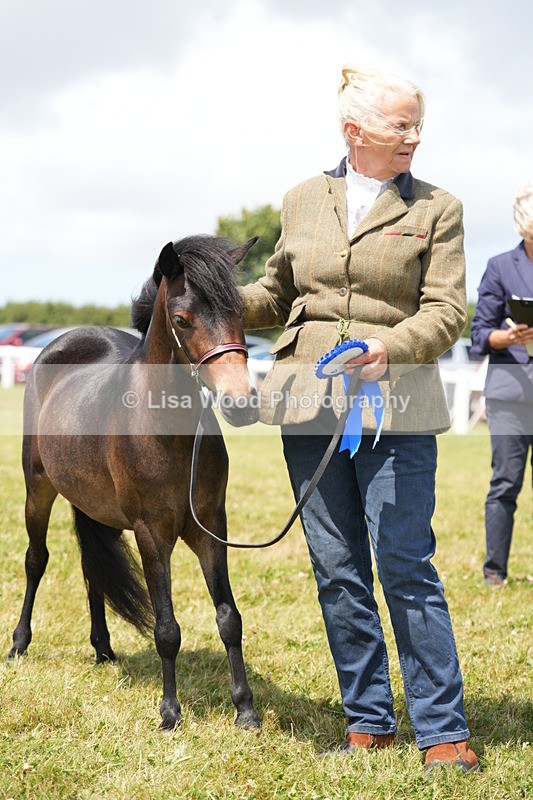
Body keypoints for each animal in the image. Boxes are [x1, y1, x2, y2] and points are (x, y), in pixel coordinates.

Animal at [8, 235, 262, 731]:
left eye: (241, 312)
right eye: (182, 320)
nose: (241, 403)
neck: (164, 429)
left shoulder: (210, 528)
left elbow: (229, 618)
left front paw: (245, 710)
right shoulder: (151, 533)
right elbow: (167, 628)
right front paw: (170, 713)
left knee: (90, 566)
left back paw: (103, 649)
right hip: (38, 488)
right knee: (35, 560)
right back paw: (19, 644)